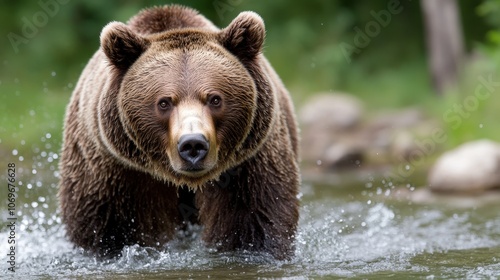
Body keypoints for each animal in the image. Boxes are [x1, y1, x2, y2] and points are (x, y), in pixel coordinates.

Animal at [58, 4, 300, 260]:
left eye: (215, 99)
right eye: (164, 102)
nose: (193, 144)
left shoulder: (249, 163)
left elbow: (254, 219)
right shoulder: (112, 170)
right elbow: (107, 228)